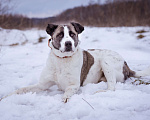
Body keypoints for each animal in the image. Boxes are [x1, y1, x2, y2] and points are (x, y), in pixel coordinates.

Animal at [0, 21, 149, 102]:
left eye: (72, 34)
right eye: (60, 35)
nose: (68, 43)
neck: (62, 60)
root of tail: (126, 64)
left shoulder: (73, 85)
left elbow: (67, 92)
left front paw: (65, 98)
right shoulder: (42, 85)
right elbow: (22, 89)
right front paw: (7, 96)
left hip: (106, 60)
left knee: (112, 87)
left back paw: (100, 91)